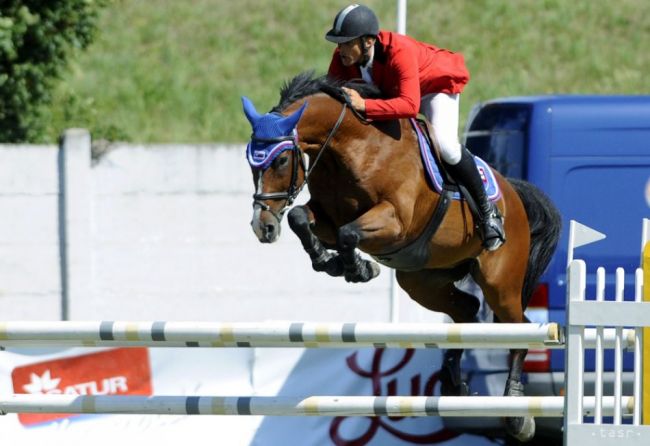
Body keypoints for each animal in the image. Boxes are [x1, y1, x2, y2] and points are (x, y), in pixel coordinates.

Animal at [240, 72, 560, 442]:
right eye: (250, 162)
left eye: (279, 160)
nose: (261, 226)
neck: (351, 147)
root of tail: (513, 192)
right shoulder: (328, 218)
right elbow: (301, 219)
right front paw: (330, 261)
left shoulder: (395, 221)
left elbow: (349, 232)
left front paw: (358, 268)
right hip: (422, 280)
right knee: (466, 310)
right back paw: (453, 385)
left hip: (500, 283)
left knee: (519, 329)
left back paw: (517, 413)